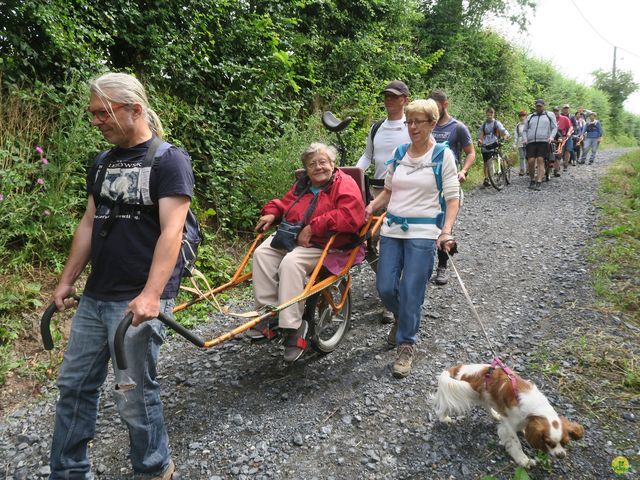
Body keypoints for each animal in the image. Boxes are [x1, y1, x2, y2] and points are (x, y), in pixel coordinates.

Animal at [430, 362, 584, 466]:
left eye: (565, 442)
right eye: (549, 443)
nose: (561, 455)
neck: (537, 409)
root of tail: (461, 368)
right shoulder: (508, 426)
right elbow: (516, 444)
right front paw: (523, 460)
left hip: (482, 395)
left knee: (486, 405)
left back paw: (495, 415)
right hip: (461, 391)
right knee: (445, 405)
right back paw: (444, 418)